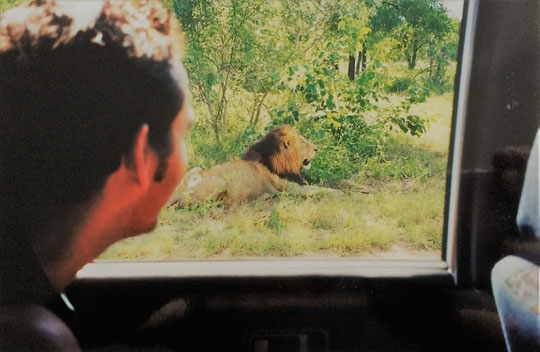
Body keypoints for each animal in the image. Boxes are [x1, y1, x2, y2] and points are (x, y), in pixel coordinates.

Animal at [169, 126, 316, 206]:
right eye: (303, 142)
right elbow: (318, 190)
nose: (316, 148)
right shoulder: (292, 188)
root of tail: (179, 189)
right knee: (184, 203)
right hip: (219, 182)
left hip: (196, 169)